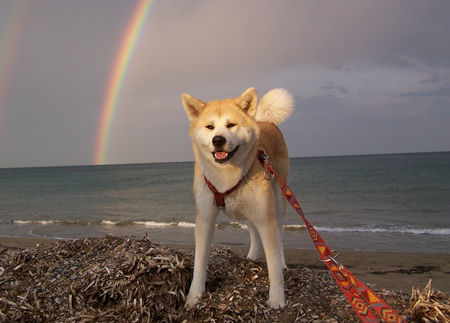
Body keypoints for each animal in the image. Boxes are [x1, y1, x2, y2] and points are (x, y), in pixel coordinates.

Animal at [181, 87, 294, 310]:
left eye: (231, 125)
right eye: (210, 127)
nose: (218, 140)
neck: (226, 177)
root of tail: (265, 121)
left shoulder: (266, 217)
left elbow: (274, 265)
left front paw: (277, 299)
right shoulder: (205, 217)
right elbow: (200, 263)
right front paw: (194, 297)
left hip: (277, 201)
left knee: (279, 235)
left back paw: (283, 262)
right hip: (244, 210)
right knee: (252, 229)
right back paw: (252, 256)